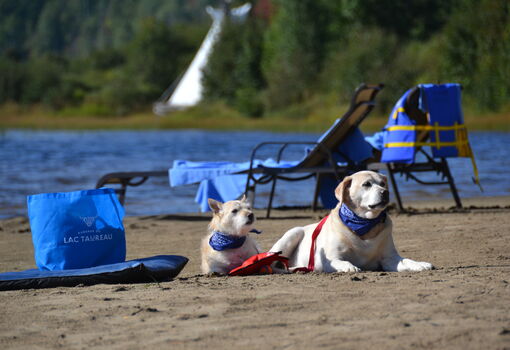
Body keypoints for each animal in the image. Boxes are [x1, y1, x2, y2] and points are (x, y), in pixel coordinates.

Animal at [268, 170, 432, 274]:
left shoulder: (390, 259)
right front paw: (349, 267)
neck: (363, 223)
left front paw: (420, 264)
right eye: (367, 184)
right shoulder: (328, 259)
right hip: (291, 235)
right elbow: (340, 262)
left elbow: (407, 261)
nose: (385, 192)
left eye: (383, 184)